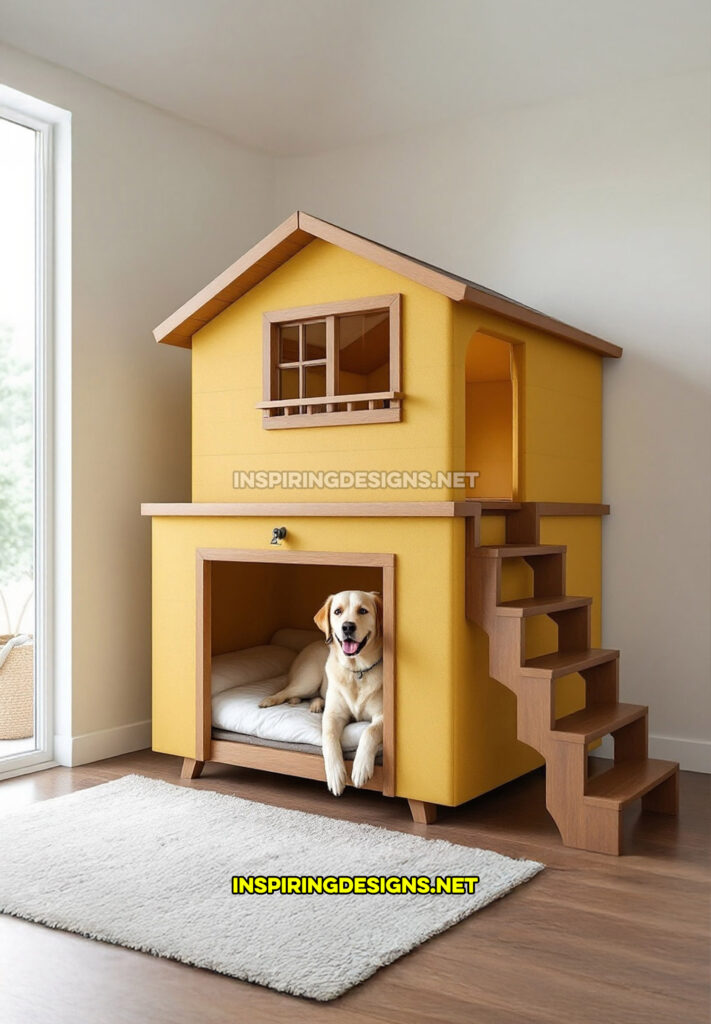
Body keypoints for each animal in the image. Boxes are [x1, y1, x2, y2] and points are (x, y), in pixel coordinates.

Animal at [260, 593, 385, 798]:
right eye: (337, 611)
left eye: (363, 610)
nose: (347, 627)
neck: (356, 671)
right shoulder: (333, 716)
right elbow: (329, 737)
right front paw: (335, 774)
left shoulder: (383, 716)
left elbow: (369, 731)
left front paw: (361, 767)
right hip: (307, 681)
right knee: (287, 691)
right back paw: (268, 700)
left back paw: (316, 705)